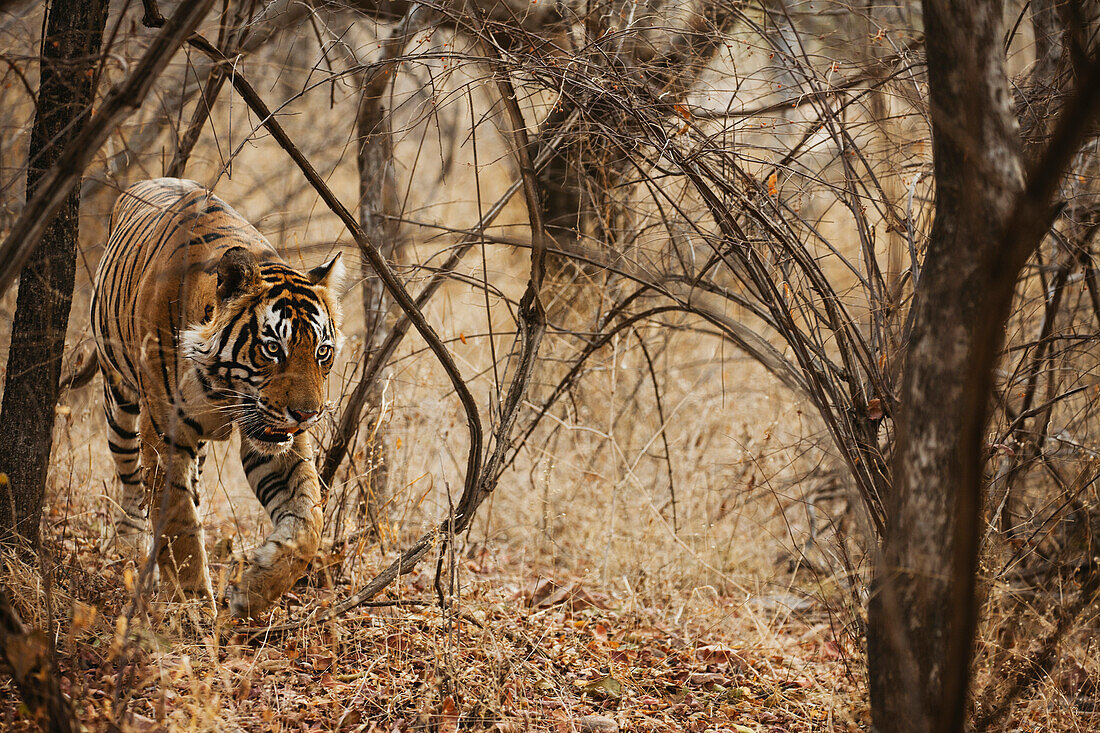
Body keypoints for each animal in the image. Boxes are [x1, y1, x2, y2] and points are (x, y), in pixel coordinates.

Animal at [92, 178, 345, 616]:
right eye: (273, 348)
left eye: (322, 352)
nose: (307, 415)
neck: (221, 387)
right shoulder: (165, 435)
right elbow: (179, 525)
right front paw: (191, 608)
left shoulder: (277, 440)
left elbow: (308, 521)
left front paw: (255, 587)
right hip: (119, 401)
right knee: (130, 483)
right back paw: (133, 550)